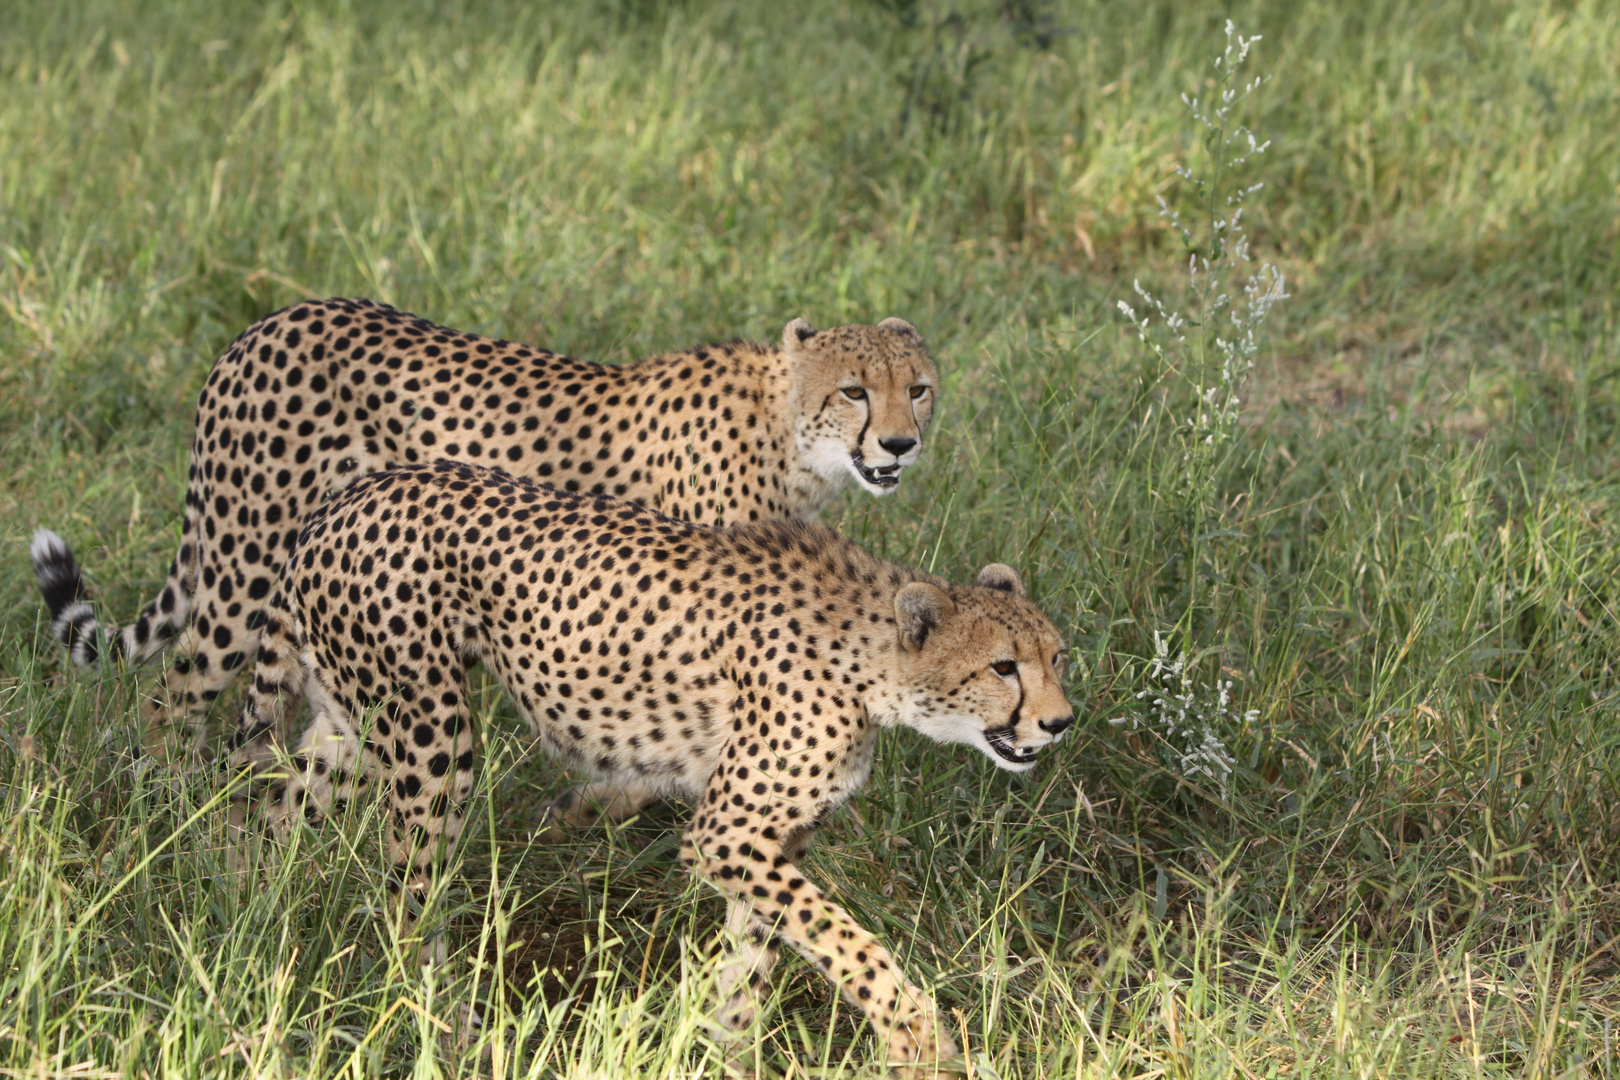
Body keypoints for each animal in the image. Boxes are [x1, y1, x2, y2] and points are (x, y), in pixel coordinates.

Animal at [28, 296, 939, 761]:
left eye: (919, 387)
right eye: (854, 390)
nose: (901, 443)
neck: (791, 435)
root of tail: (265, 322)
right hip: (244, 568)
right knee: (171, 696)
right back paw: (167, 807)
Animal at [221, 459, 1069, 1075]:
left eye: (1056, 657)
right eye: (1003, 667)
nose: (1059, 723)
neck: (875, 662)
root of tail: (348, 495)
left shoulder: (774, 841)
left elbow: (754, 960)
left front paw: (730, 1054)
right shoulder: (727, 834)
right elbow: (844, 939)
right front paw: (917, 1038)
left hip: (354, 723)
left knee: (276, 811)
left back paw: (257, 924)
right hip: (432, 735)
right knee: (408, 893)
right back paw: (449, 1027)